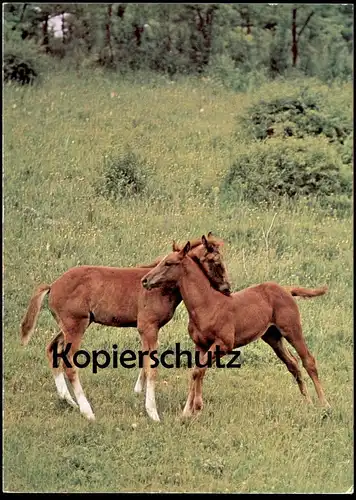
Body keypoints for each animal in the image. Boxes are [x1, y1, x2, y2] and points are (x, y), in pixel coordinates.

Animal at [20, 232, 231, 420]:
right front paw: (152, 412)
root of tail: (53, 286)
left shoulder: (148, 329)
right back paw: (87, 411)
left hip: (71, 326)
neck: (162, 288)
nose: (227, 288)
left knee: (52, 348)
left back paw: (69, 400)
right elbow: (152, 366)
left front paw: (138, 392)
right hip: (75, 326)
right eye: (216, 262)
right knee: (68, 362)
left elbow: (145, 362)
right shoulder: (148, 326)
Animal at [142, 238, 330, 418]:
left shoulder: (224, 344)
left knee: (308, 361)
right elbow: (196, 372)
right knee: (293, 364)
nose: (145, 280)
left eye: (168, 263)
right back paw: (308, 402)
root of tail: (286, 289)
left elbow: (198, 371)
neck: (207, 305)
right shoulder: (200, 345)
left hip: (292, 330)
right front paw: (188, 411)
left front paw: (196, 407)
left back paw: (324, 404)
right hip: (273, 337)